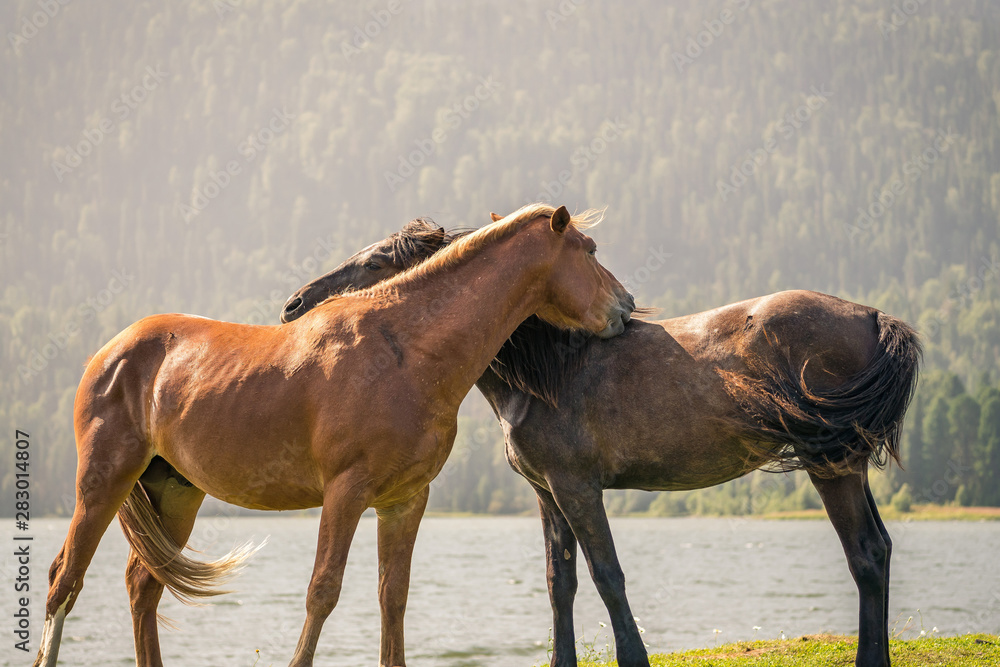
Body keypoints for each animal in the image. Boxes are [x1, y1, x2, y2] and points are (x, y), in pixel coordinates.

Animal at [35, 204, 635, 667]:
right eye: (589, 249)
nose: (625, 307)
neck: (406, 350)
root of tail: (111, 352)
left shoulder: (405, 501)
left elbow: (393, 596)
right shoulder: (345, 492)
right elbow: (323, 591)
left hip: (176, 493)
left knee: (143, 587)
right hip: (102, 483)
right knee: (65, 579)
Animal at [281, 216, 920, 667]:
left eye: (374, 261)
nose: (295, 305)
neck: (552, 369)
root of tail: (870, 316)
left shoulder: (578, 488)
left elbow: (606, 575)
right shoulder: (546, 492)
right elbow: (559, 583)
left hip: (832, 463)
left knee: (865, 554)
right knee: (883, 549)